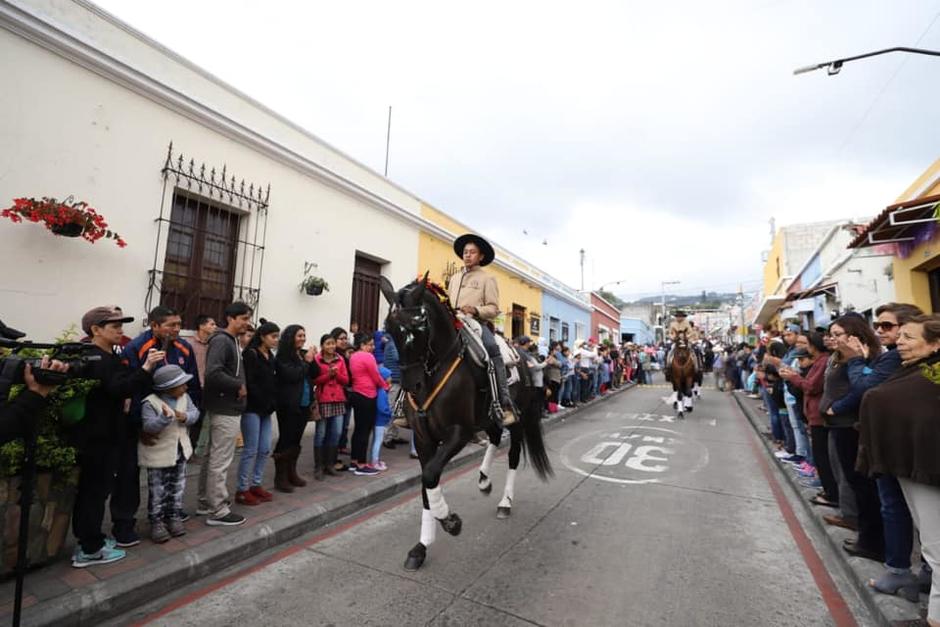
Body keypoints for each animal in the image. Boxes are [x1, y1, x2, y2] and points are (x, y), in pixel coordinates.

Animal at [380, 278, 552, 572]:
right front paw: (421, 547)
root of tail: (524, 355)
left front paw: (450, 521)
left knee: (513, 455)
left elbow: (430, 476)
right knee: (493, 437)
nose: (411, 385)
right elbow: (426, 485)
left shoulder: (459, 432)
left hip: (516, 421)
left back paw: (505, 502)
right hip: (488, 417)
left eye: (420, 326)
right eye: (389, 328)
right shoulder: (424, 438)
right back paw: (483, 480)